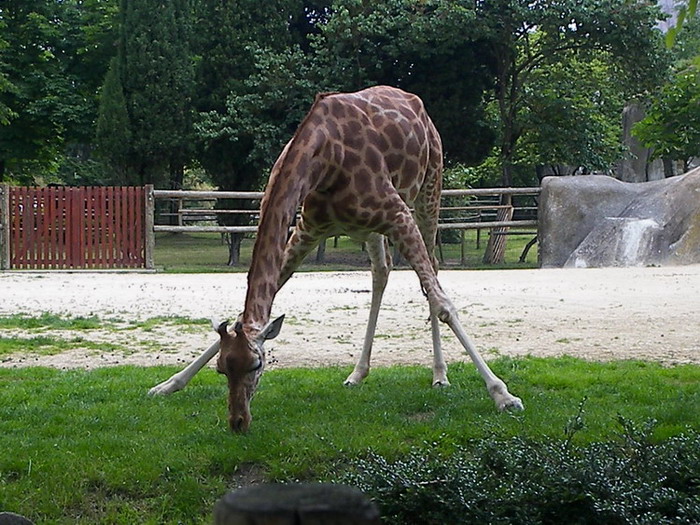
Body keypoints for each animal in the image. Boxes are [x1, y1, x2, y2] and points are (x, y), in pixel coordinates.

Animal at [153, 85, 524, 430]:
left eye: (257, 364)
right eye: (222, 368)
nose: (238, 421)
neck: (324, 159)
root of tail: (417, 104)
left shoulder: (397, 215)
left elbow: (442, 302)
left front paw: (503, 395)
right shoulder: (307, 229)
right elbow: (259, 302)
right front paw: (168, 385)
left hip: (429, 187)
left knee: (430, 273)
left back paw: (439, 375)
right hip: (371, 227)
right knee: (381, 272)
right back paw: (358, 373)